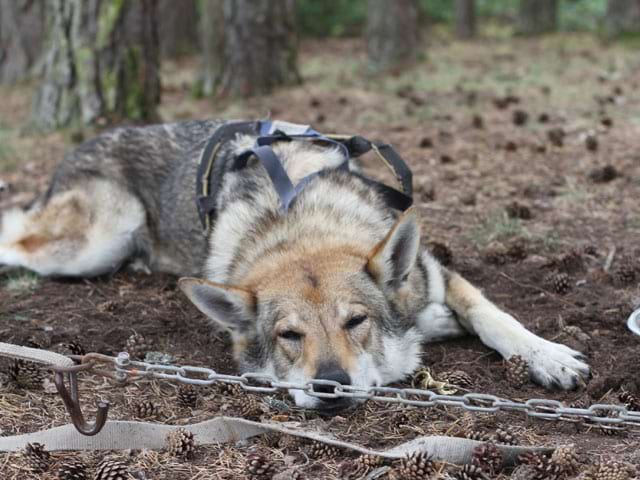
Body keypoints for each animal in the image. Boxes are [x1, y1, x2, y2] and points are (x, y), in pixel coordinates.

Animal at [0, 119, 592, 408]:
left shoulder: (434, 271)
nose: (329, 385)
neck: (301, 221)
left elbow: (495, 316)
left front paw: (548, 357)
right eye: (289, 335)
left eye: (356, 322)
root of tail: (78, 147)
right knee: (17, 235)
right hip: (98, 240)